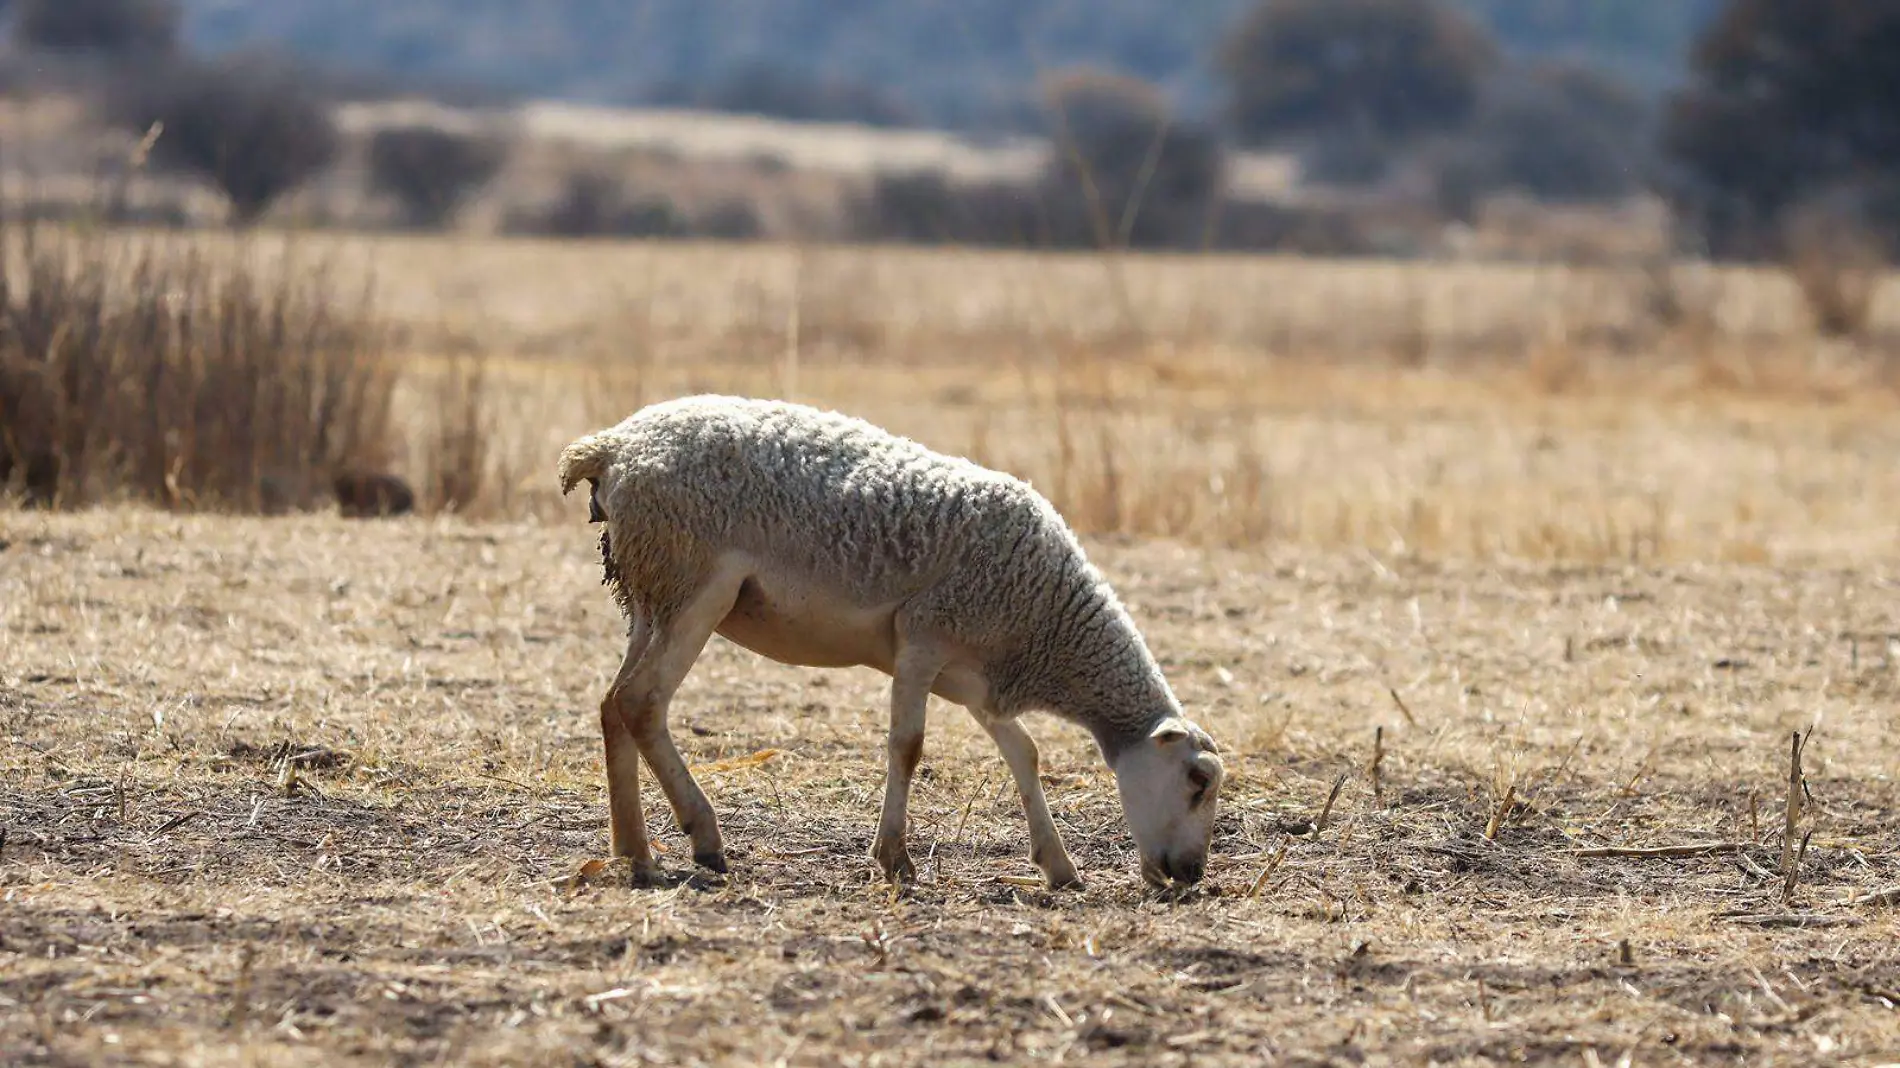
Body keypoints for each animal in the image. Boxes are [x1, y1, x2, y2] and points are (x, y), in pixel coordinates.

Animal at [554, 395, 1223, 885]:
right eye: (1197, 781)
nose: (1191, 874)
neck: (1050, 627)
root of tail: (611, 447)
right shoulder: (923, 640)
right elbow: (908, 746)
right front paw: (894, 858)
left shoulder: (975, 679)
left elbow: (1024, 754)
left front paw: (1058, 866)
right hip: (694, 585)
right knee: (642, 702)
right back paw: (702, 837)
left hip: (651, 593)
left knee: (614, 706)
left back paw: (635, 852)